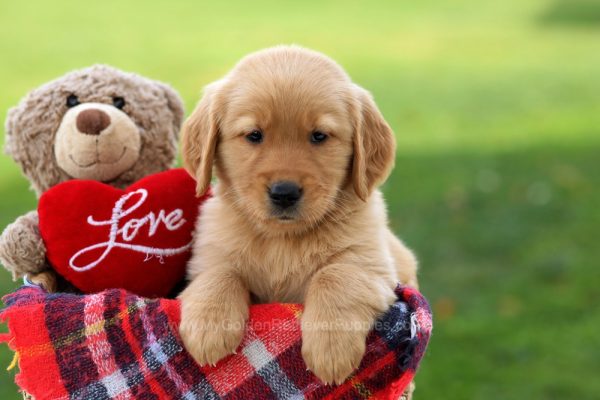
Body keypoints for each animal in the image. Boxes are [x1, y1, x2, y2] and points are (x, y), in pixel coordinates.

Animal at [179, 45, 418, 386]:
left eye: (319, 136)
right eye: (254, 135)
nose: (284, 193)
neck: (283, 240)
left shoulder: (370, 264)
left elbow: (334, 275)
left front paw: (330, 349)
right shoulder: (209, 254)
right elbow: (219, 273)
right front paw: (209, 327)